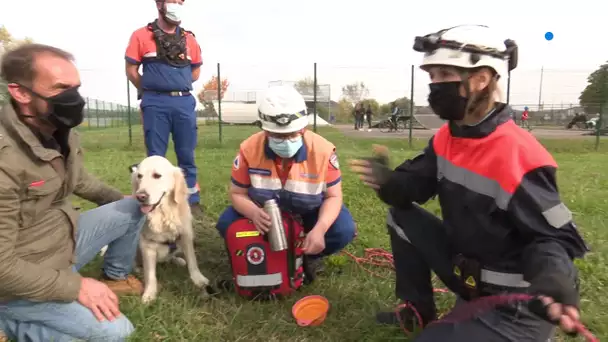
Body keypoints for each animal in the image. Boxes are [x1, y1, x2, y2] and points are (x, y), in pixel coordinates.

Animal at [127, 155, 210, 302]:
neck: (163, 214)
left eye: (157, 175)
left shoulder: (186, 235)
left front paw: (198, 279)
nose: (140, 197)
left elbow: (192, 261)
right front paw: (149, 294)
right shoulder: (147, 245)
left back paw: (177, 260)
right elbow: (150, 274)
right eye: (139, 176)